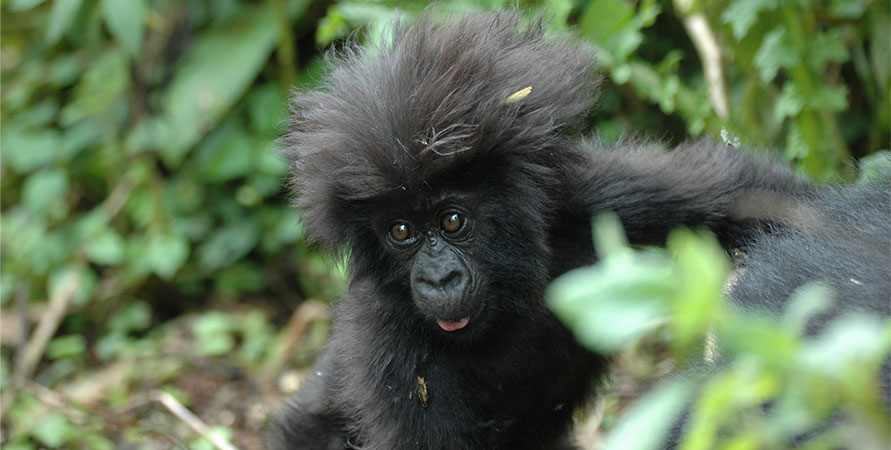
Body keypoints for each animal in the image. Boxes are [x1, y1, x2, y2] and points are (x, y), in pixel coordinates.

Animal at [270, 9, 884, 450]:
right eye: (400, 232)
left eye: (452, 220)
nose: (438, 279)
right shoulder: (391, 346)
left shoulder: (584, 203)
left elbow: (744, 194)